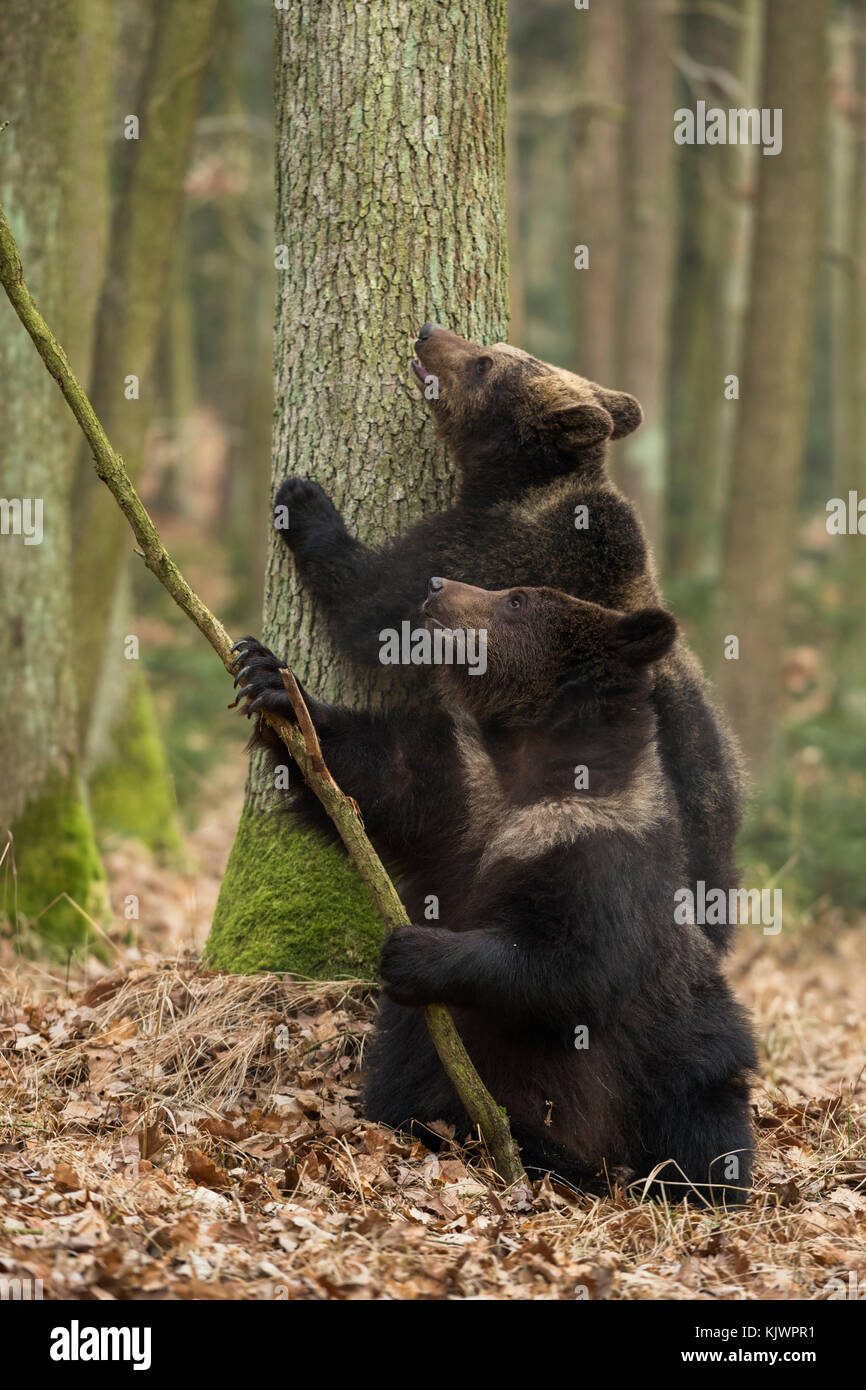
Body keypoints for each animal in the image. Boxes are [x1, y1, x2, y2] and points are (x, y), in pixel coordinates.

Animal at [272, 325, 745, 956]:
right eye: (492, 348)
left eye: (483, 363)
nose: (427, 332)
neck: (517, 484)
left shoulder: (494, 552)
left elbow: (375, 609)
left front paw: (304, 503)